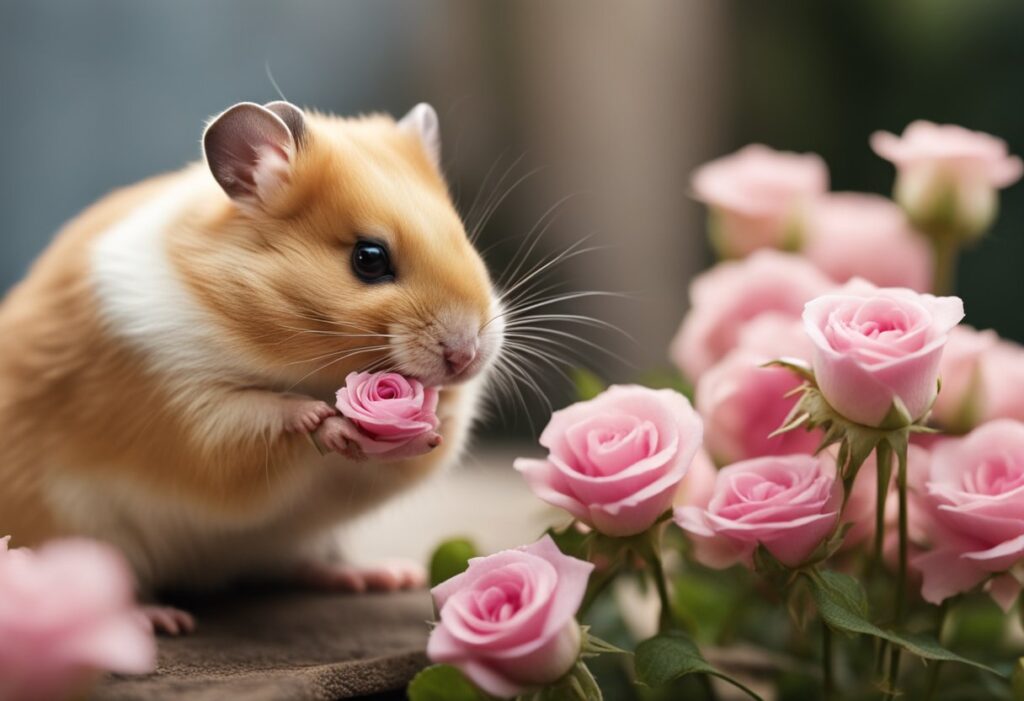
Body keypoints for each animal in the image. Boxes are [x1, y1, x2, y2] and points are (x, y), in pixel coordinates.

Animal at [0, 101, 505, 627]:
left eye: (463, 239)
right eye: (368, 258)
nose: (466, 357)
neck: (301, 367)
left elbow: (427, 443)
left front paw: (434, 420)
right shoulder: (185, 411)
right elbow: (262, 418)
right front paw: (326, 422)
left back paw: (378, 576)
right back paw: (159, 619)